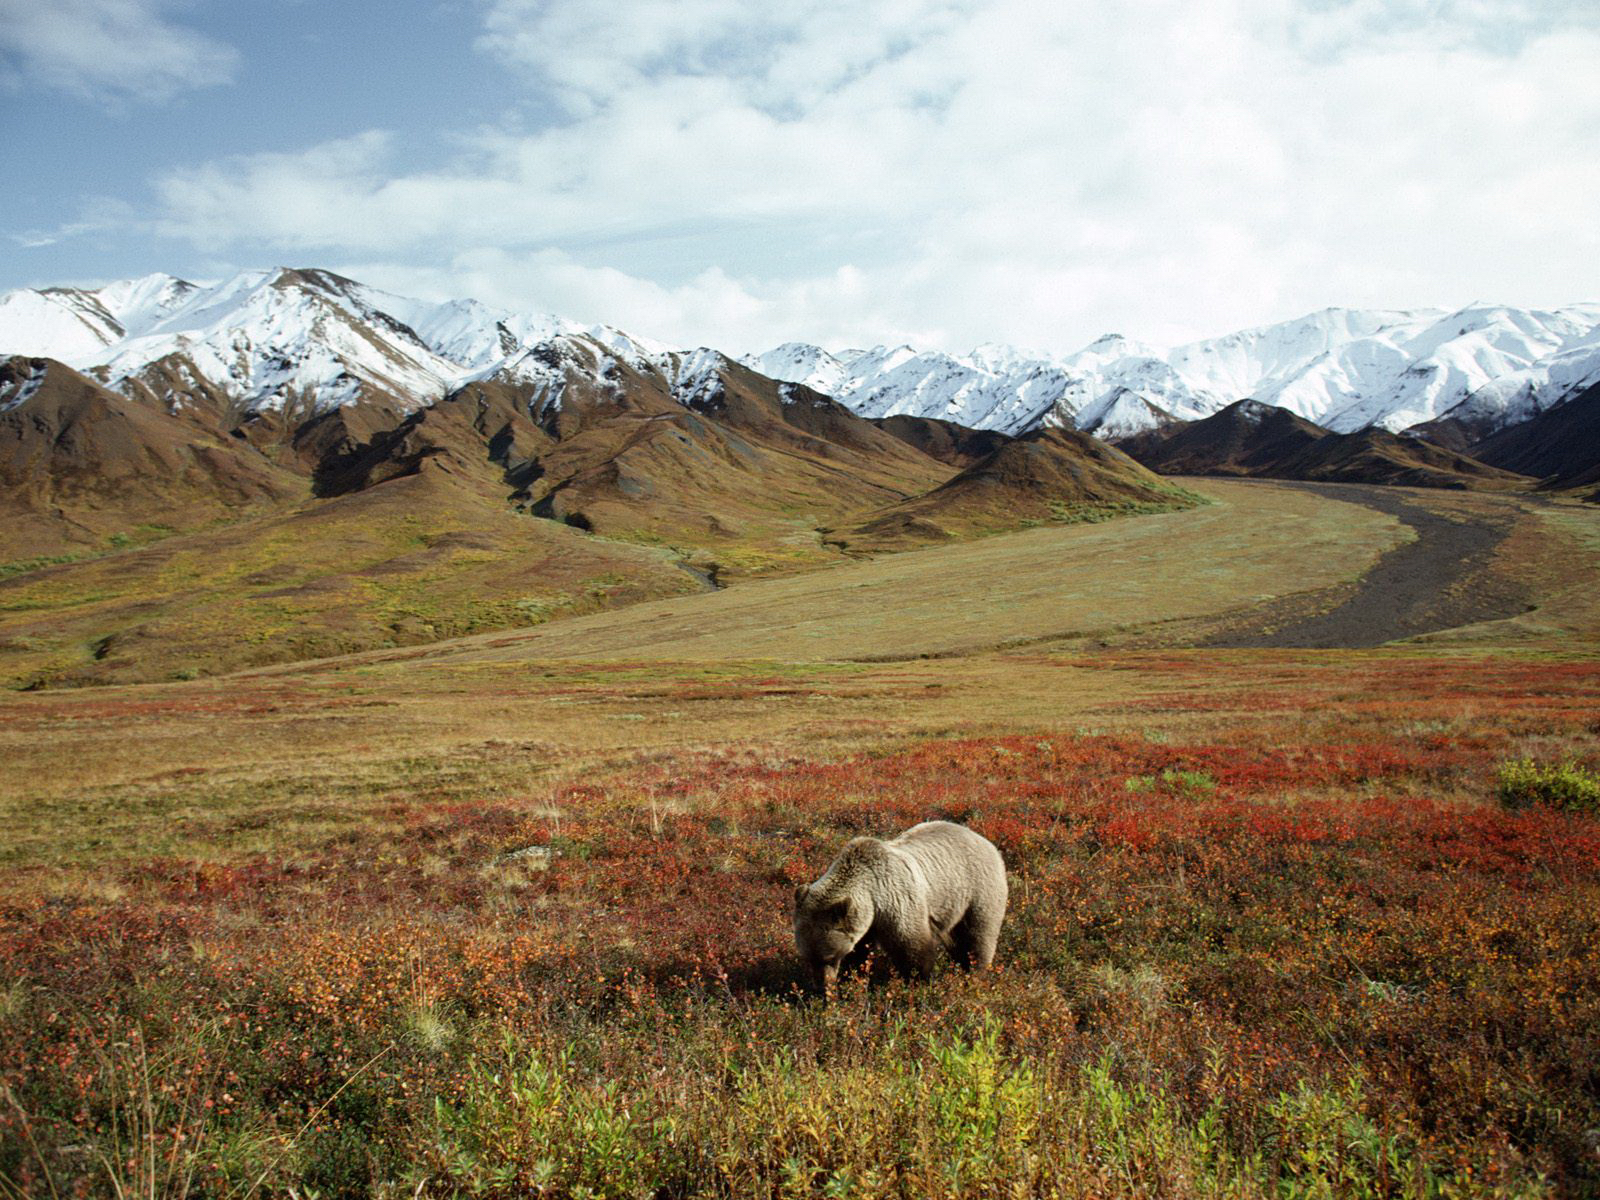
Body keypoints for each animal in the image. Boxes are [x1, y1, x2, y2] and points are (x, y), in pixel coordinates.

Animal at [793, 825, 1004, 992]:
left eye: (829, 957)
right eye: (807, 957)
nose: (821, 987)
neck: (873, 897)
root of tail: (985, 840)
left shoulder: (897, 901)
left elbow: (912, 948)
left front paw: (919, 982)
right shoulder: (865, 923)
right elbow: (860, 953)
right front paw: (852, 980)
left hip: (978, 891)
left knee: (978, 936)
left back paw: (974, 973)